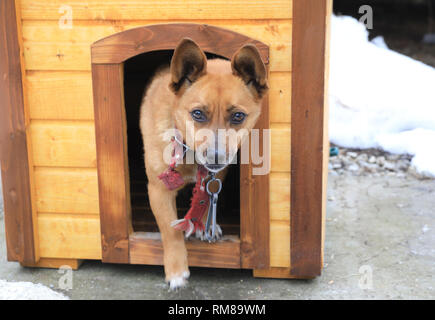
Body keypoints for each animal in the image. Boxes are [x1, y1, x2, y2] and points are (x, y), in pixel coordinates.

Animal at [140, 37, 270, 290]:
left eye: (238, 116)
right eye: (198, 113)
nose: (215, 157)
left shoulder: (217, 176)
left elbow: (207, 197)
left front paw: (205, 224)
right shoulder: (159, 190)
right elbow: (170, 231)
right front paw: (176, 271)